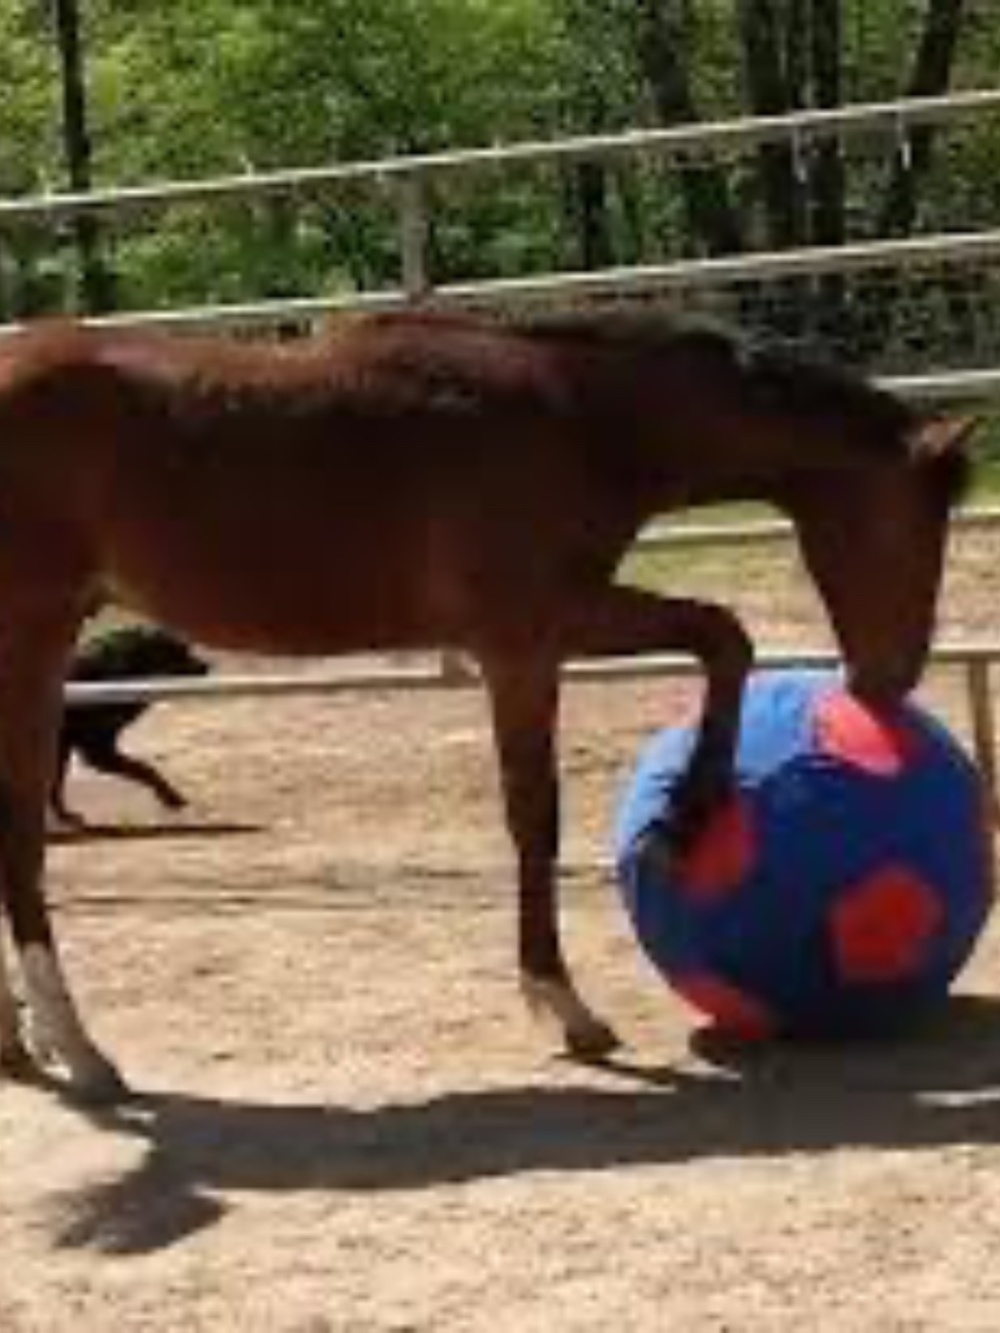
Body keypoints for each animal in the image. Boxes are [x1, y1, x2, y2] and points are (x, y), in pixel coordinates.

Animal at [0, 307, 973, 1101]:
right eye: (917, 526)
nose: (887, 682)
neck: (577, 416)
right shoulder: (528, 637)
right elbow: (542, 807)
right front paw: (573, 995)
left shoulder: (553, 627)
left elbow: (717, 639)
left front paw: (682, 815)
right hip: (34, 639)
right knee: (22, 837)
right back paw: (79, 1052)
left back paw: (24, 1046)